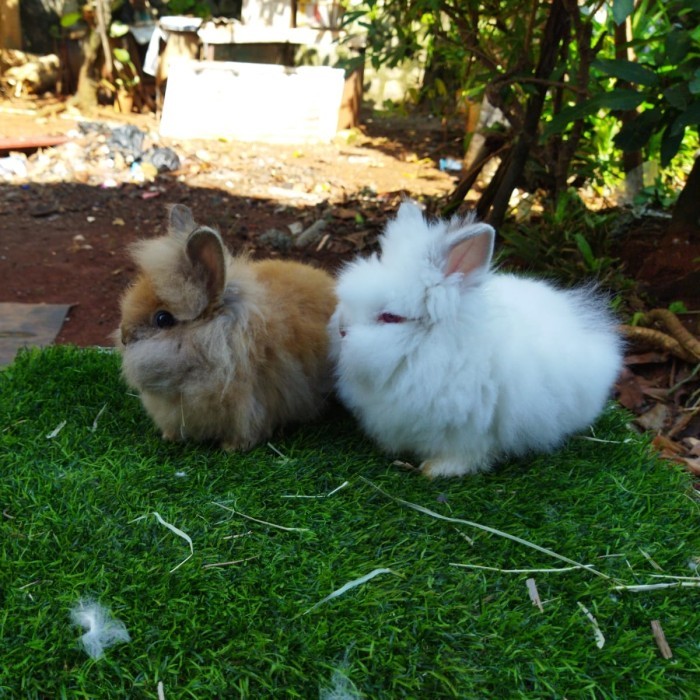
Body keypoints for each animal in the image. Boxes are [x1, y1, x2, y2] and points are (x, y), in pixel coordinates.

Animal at [329, 201, 623, 478]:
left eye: (390, 317)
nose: (342, 330)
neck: (426, 350)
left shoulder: (468, 431)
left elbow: (465, 454)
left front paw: (436, 469)